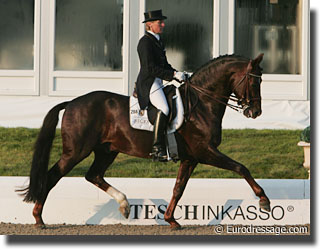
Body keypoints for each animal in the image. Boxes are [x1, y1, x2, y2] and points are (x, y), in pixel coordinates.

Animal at [16, 52, 268, 229]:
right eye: (254, 81)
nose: (255, 112)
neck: (201, 103)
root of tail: (71, 102)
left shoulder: (191, 158)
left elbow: (178, 188)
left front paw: (171, 220)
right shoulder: (205, 151)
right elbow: (241, 167)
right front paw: (263, 199)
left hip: (107, 150)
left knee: (93, 175)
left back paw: (124, 205)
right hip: (76, 151)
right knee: (52, 176)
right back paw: (38, 219)